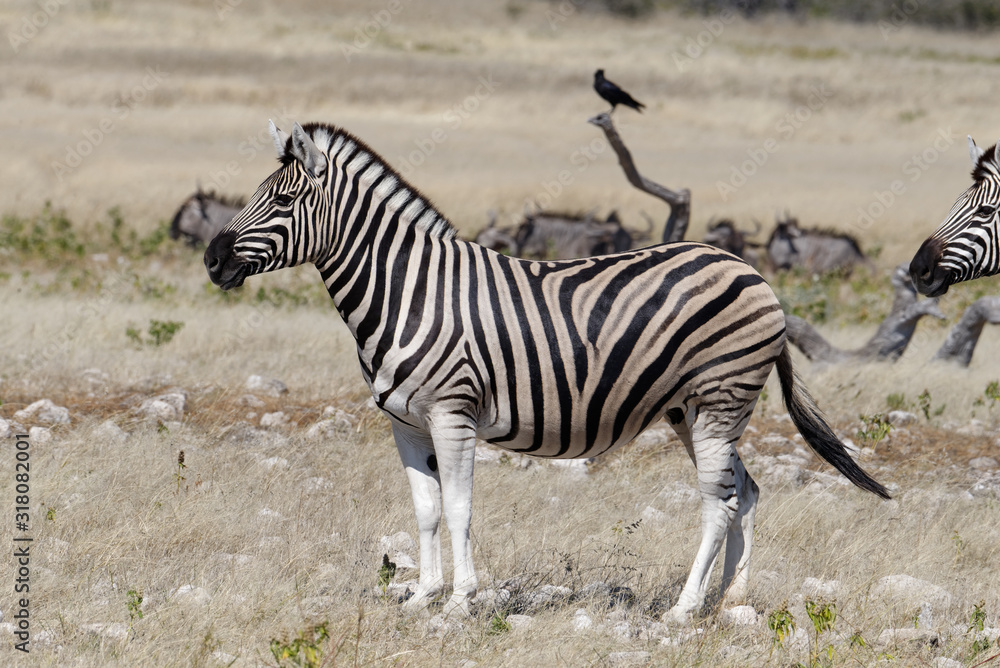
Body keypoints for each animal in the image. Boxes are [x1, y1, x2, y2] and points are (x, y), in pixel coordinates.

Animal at [205, 121, 889, 623]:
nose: (211, 259)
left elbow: (458, 507)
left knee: (718, 503)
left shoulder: (453, 413)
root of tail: (751, 271)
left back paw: (683, 609)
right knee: (744, 492)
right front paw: (421, 596)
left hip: (722, 397)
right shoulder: (404, 422)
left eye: (284, 199)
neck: (408, 291)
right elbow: (425, 510)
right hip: (691, 409)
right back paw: (731, 604)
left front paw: (460, 602)